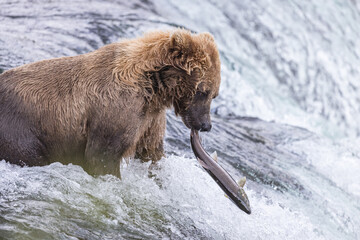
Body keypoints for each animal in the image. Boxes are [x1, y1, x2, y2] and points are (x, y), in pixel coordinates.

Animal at [0, 29, 221, 176]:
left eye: (214, 94)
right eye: (203, 91)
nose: (206, 125)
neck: (153, 87)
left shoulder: (149, 119)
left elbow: (152, 153)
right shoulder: (116, 111)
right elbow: (102, 156)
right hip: (22, 130)